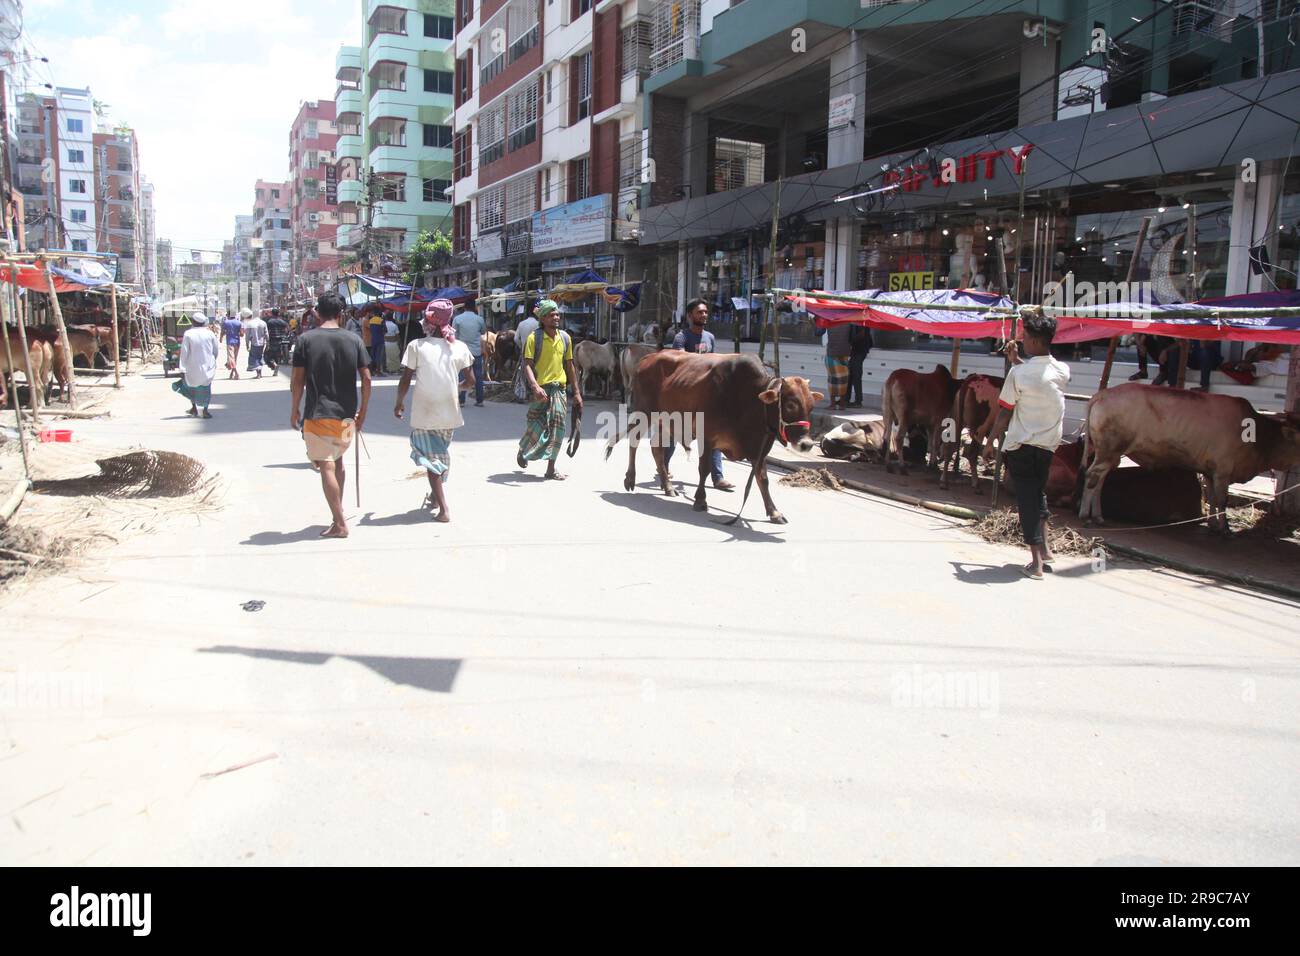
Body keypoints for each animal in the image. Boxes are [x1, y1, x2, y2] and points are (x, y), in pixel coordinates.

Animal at [603, 351, 816, 522]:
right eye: (790, 404)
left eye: (811, 406)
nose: (806, 444)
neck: (749, 398)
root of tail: (649, 357)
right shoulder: (707, 438)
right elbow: (704, 469)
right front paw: (700, 500)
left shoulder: (759, 449)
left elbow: (762, 479)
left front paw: (774, 512)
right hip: (644, 413)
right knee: (635, 441)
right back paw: (630, 479)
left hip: (666, 423)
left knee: (657, 449)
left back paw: (668, 486)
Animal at [1076, 385, 1300, 535]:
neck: (1259, 436)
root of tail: (1103, 393)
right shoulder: (1223, 471)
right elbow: (1222, 500)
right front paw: (1225, 529)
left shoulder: (1210, 471)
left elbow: (1212, 498)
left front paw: (1213, 525)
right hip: (1109, 451)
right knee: (1092, 476)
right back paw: (1085, 516)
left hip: (1110, 454)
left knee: (1100, 481)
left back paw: (1098, 516)